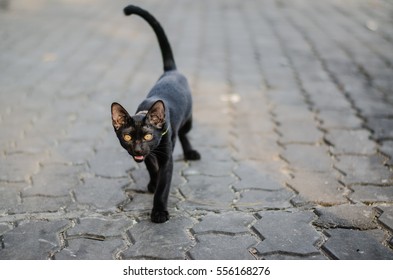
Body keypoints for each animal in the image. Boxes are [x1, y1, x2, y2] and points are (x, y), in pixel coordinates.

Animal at [112, 4, 201, 223]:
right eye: (127, 137)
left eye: (147, 135)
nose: (137, 149)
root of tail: (170, 71)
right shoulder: (148, 155)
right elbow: (151, 167)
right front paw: (152, 182)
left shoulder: (166, 157)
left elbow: (163, 184)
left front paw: (159, 211)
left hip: (188, 120)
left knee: (184, 133)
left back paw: (190, 152)